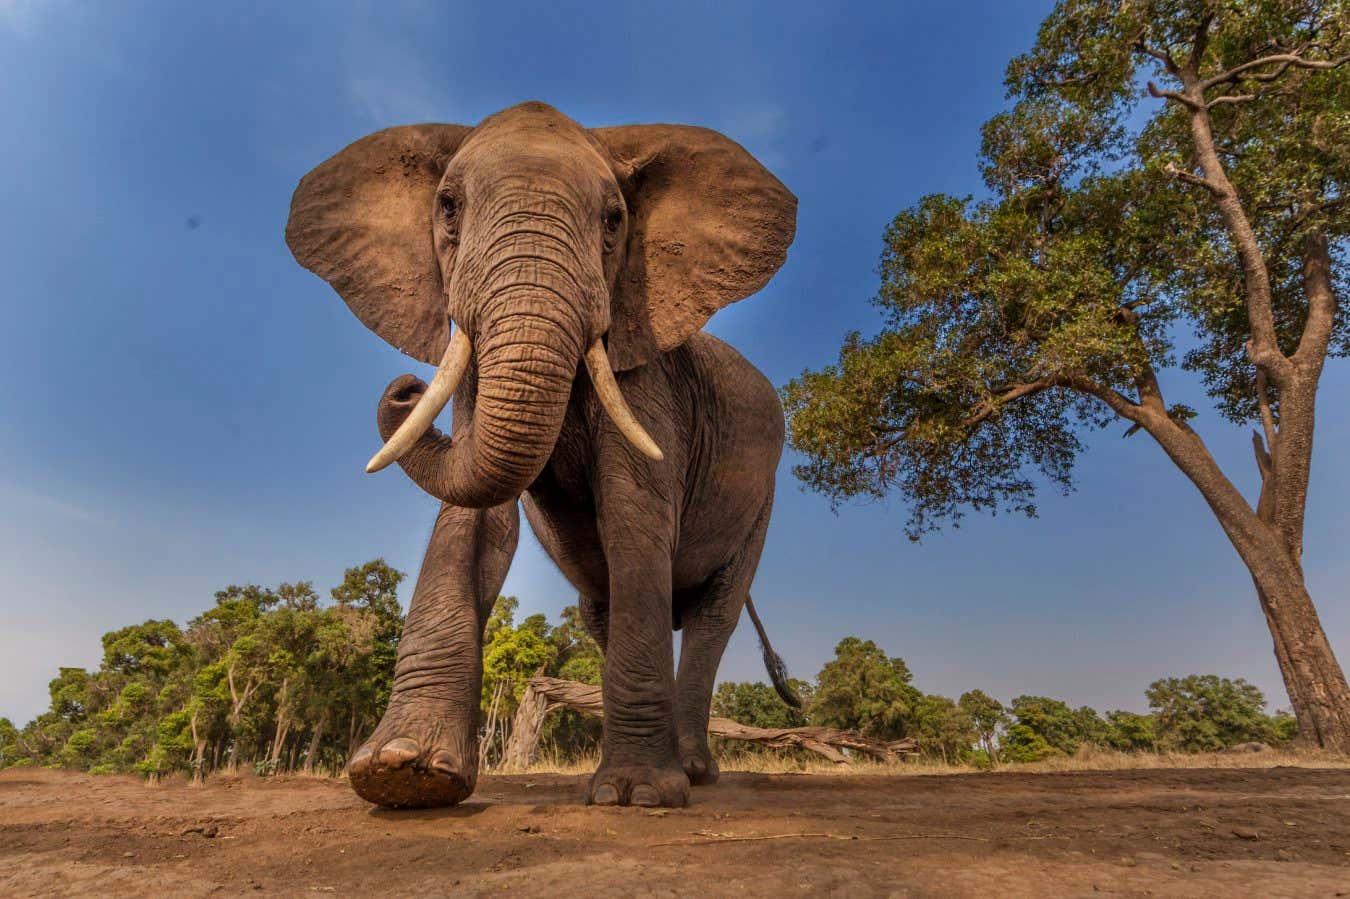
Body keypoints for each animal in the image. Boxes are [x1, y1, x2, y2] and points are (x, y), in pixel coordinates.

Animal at [285, 101, 798, 809]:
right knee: (603, 610)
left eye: (613, 221)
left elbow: (634, 516)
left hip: (764, 498)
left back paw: (690, 772)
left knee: (713, 614)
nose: (404, 387)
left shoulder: (647, 375)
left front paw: (638, 795)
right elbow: (474, 519)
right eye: (448, 207)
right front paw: (402, 774)